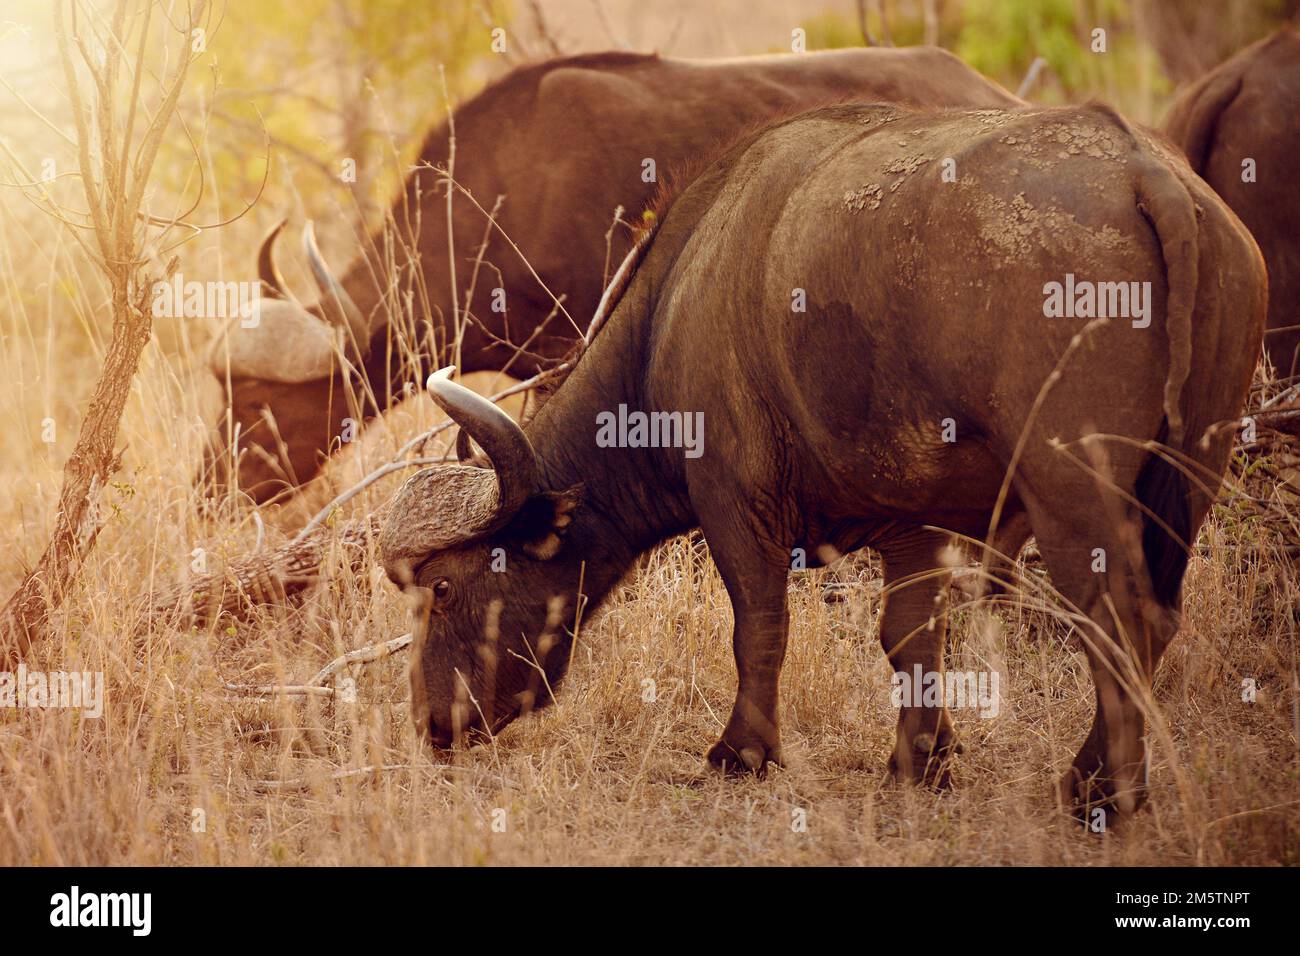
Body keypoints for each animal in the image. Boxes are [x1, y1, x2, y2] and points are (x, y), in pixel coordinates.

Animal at [379, 100, 1268, 827]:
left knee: (1118, 621)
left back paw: (1099, 793)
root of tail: (1148, 173)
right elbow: (911, 636)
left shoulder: (735, 500)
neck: (677, 300)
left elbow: (759, 627)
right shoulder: (919, 520)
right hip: (1192, 474)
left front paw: (740, 752)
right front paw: (922, 761)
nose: (429, 724)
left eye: (444, 588)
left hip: (1072, 490)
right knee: (1156, 619)